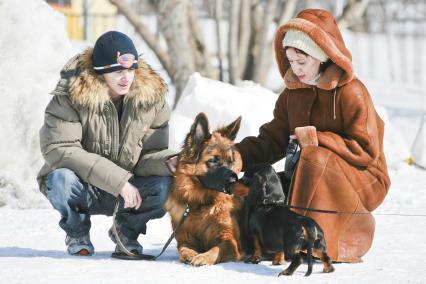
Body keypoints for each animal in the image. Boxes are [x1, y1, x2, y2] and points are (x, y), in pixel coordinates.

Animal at [166, 112, 248, 266]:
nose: (234, 181)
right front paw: (190, 254)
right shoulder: (183, 239)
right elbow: (183, 248)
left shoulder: (230, 241)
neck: (201, 204)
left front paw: (202, 257)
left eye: (230, 161)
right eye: (214, 160)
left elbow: (216, 249)